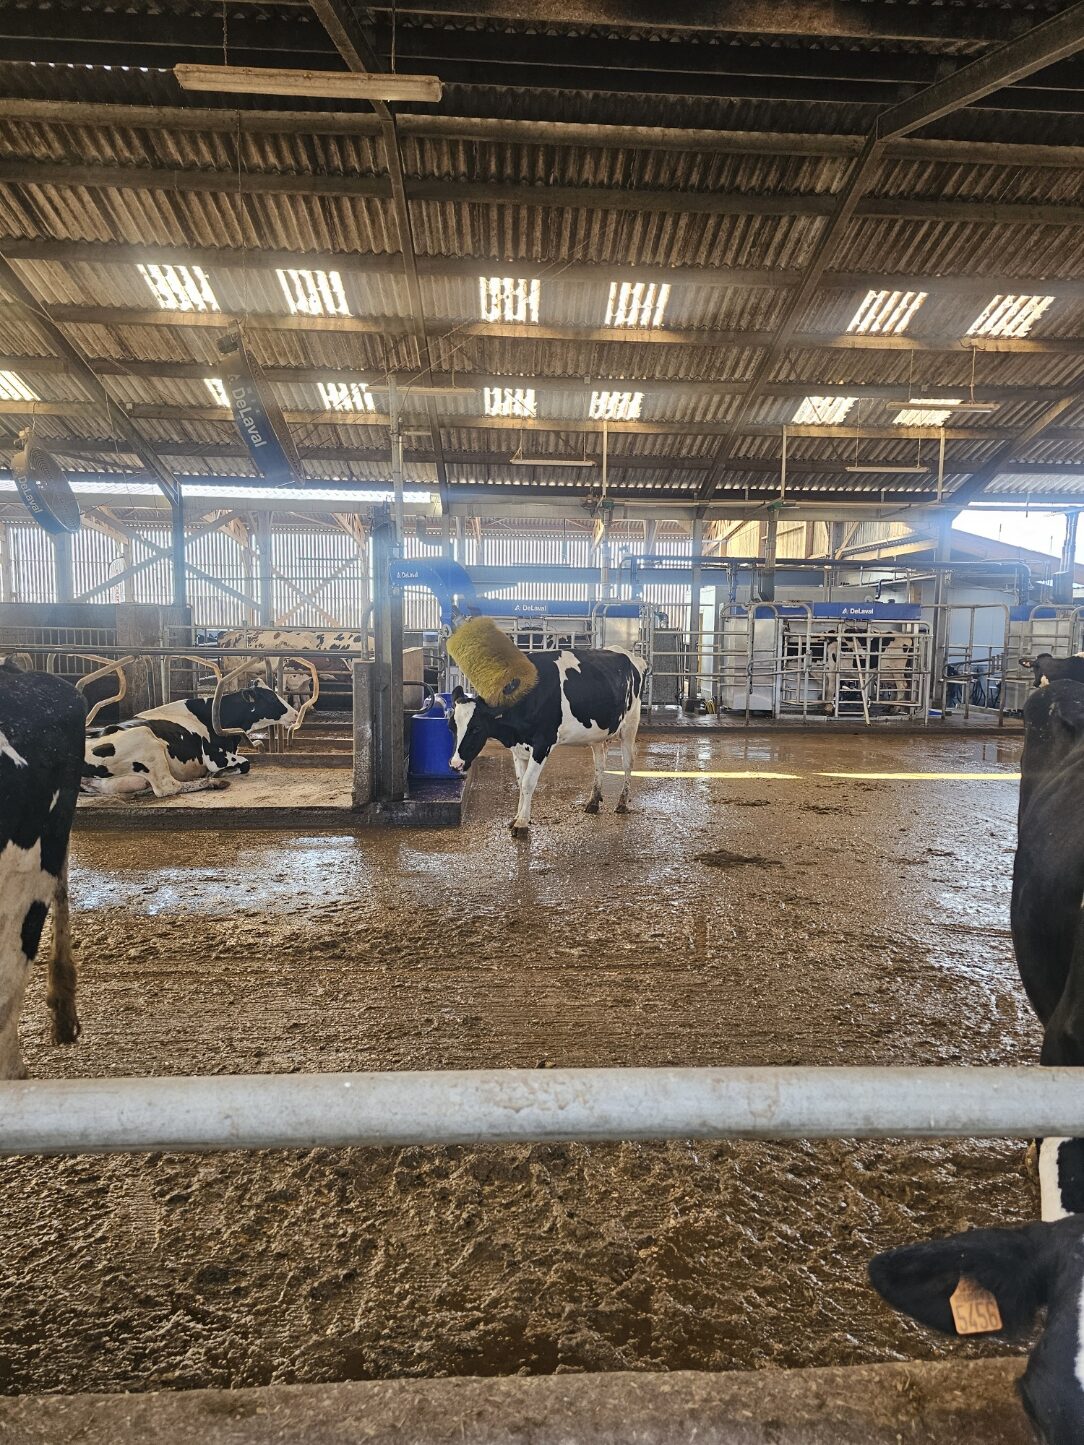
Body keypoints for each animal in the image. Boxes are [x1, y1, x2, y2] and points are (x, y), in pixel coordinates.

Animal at [81, 679, 299, 797]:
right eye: (271, 698)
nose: (296, 714)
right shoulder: (216, 757)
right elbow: (245, 764)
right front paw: (217, 774)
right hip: (146, 741)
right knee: (168, 787)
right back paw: (213, 782)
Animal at [448, 647, 644, 838]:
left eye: (476, 728)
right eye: (451, 726)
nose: (455, 764)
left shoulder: (543, 744)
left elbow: (528, 782)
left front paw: (521, 824)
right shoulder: (518, 747)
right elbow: (520, 782)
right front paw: (517, 817)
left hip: (630, 725)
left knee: (627, 763)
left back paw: (622, 803)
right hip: (597, 734)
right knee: (600, 763)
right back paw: (593, 802)